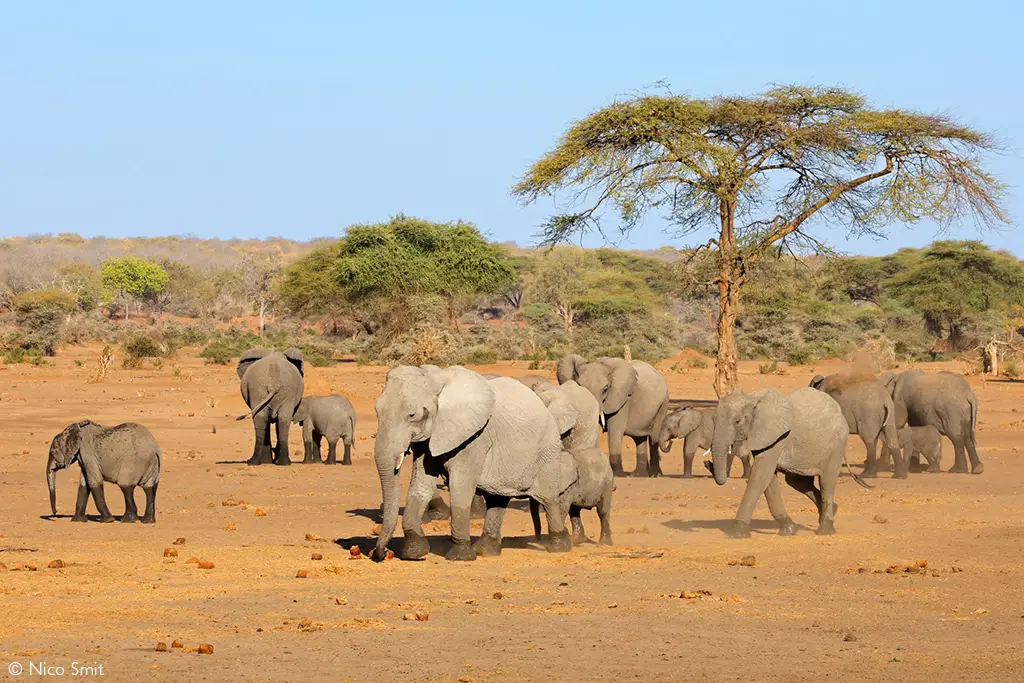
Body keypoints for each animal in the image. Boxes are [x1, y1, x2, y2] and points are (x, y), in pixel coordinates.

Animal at [371, 365, 574, 562]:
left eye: (412, 415)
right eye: (377, 411)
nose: (380, 554)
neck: (437, 379)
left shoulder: (475, 437)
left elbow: (460, 489)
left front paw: (460, 557)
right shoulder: (430, 440)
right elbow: (420, 486)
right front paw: (414, 553)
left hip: (547, 449)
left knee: (548, 499)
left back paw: (559, 547)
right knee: (497, 500)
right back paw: (486, 550)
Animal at [710, 388, 868, 538]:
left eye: (737, 421)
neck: (752, 396)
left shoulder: (778, 436)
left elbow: (761, 475)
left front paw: (738, 534)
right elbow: (768, 479)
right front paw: (789, 530)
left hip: (836, 445)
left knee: (826, 482)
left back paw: (825, 531)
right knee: (797, 482)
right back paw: (833, 510)